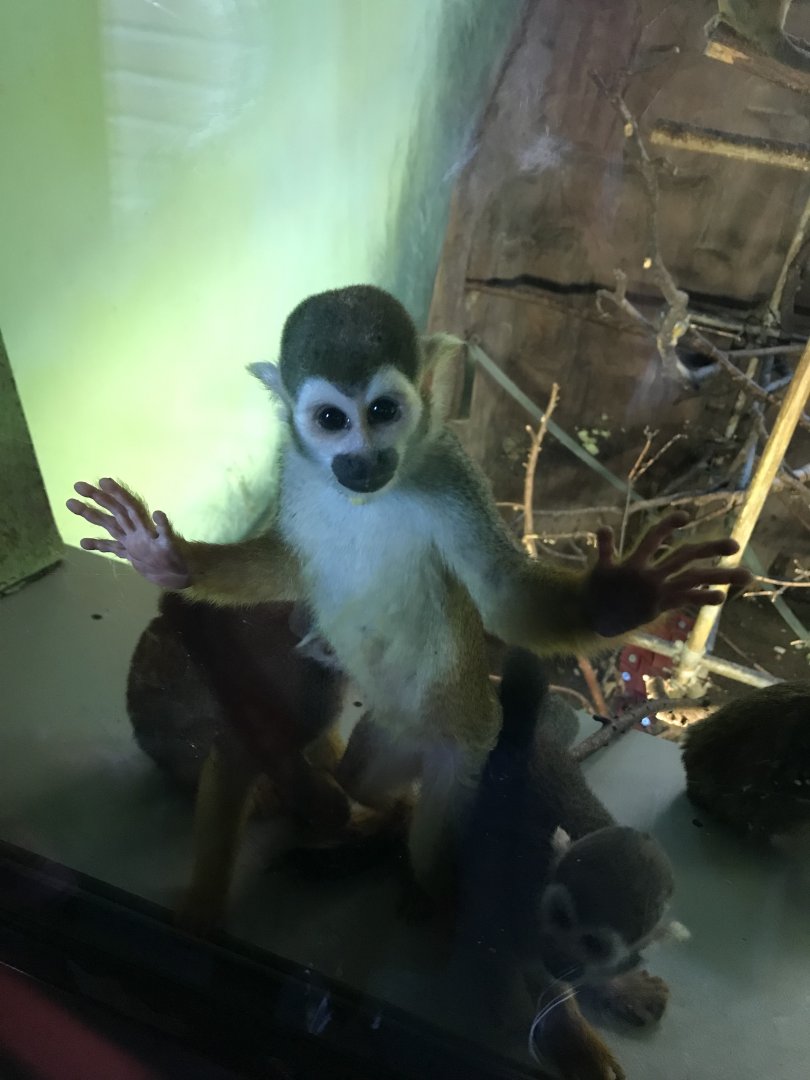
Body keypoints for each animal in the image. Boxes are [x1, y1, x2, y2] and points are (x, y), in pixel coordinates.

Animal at [66, 283, 751, 908]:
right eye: (332, 420)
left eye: (383, 410)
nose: (363, 458)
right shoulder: (296, 471)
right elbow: (287, 565)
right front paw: (165, 559)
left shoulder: (453, 476)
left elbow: (502, 597)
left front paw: (623, 598)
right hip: (387, 739)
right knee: (362, 777)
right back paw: (380, 811)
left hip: (464, 751)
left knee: (433, 842)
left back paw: (433, 884)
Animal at [453, 648, 684, 1078]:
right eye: (559, 918)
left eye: (594, 944)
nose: (560, 960)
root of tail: (530, 741)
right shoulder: (520, 904)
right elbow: (512, 959)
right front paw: (570, 1039)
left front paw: (620, 988)